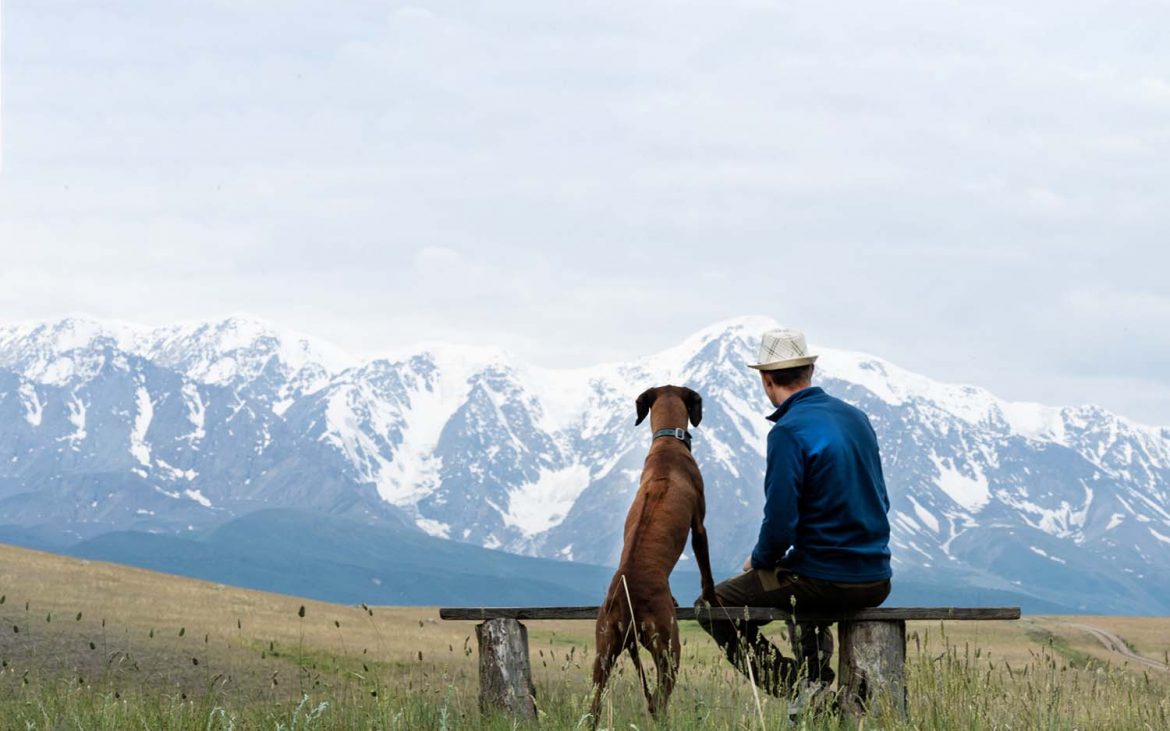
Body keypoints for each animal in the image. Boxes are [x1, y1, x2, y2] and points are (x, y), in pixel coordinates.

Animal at [589, 381, 716, 725]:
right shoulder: (699, 526)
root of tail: (624, 600)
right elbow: (706, 570)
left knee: (594, 705)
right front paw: (711, 598)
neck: (667, 443)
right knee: (658, 700)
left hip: (603, 651)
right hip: (668, 647)